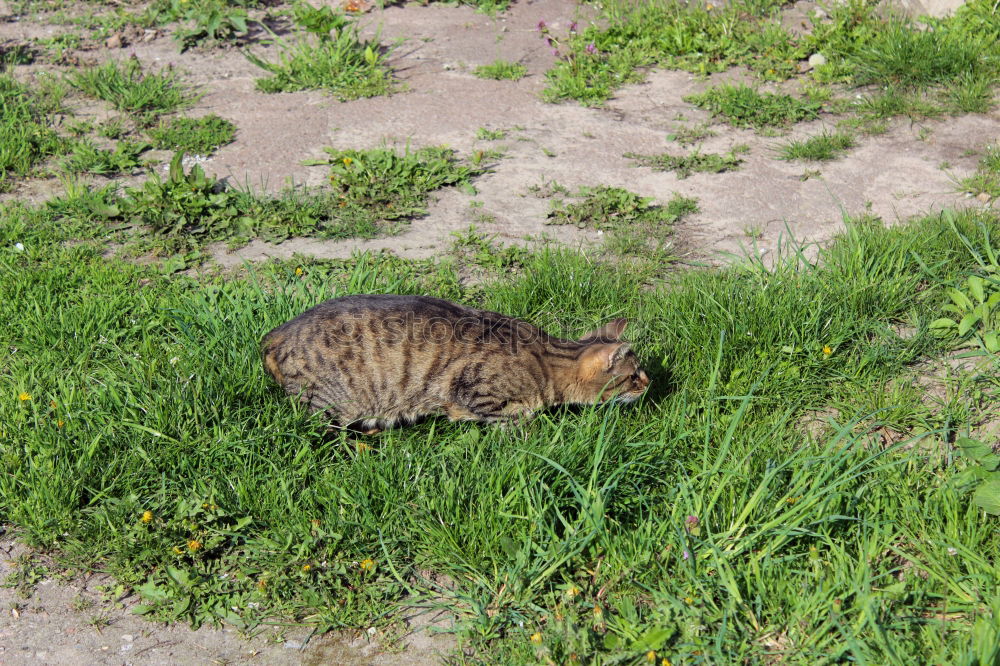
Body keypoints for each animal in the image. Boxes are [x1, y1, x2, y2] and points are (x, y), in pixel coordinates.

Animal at [260, 292, 648, 428]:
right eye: (632, 376)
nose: (650, 383)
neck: (548, 361)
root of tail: (277, 332)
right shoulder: (478, 391)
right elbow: (513, 422)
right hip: (329, 404)